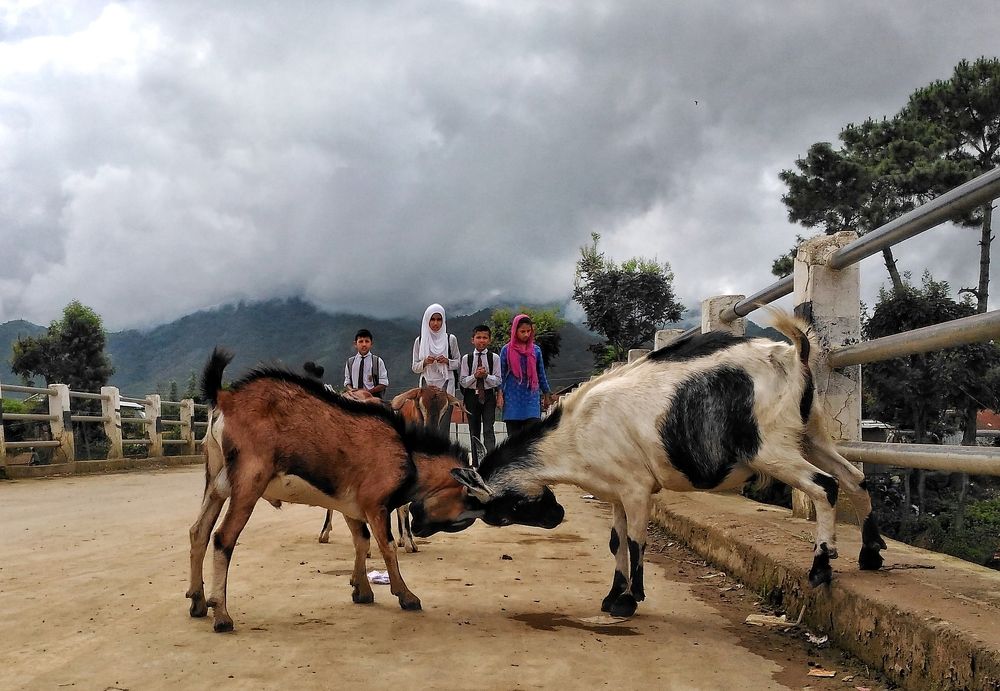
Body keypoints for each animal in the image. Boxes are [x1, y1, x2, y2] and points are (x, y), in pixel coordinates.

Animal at [186, 349, 482, 632]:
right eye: (464, 499)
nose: (420, 530)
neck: (407, 452)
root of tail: (225, 398)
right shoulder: (375, 504)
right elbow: (386, 546)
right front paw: (407, 595)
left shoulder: (351, 504)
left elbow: (361, 541)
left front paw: (362, 590)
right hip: (249, 482)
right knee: (223, 537)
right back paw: (222, 615)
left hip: (215, 481)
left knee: (198, 531)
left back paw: (198, 602)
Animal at [452, 312, 886, 618]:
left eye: (505, 511)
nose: (558, 515)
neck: (576, 431)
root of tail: (795, 354)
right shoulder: (617, 491)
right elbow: (615, 542)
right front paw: (613, 595)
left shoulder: (637, 489)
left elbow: (635, 541)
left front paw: (630, 600)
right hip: (811, 435)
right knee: (855, 477)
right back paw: (870, 554)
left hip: (773, 447)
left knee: (825, 486)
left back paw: (822, 567)